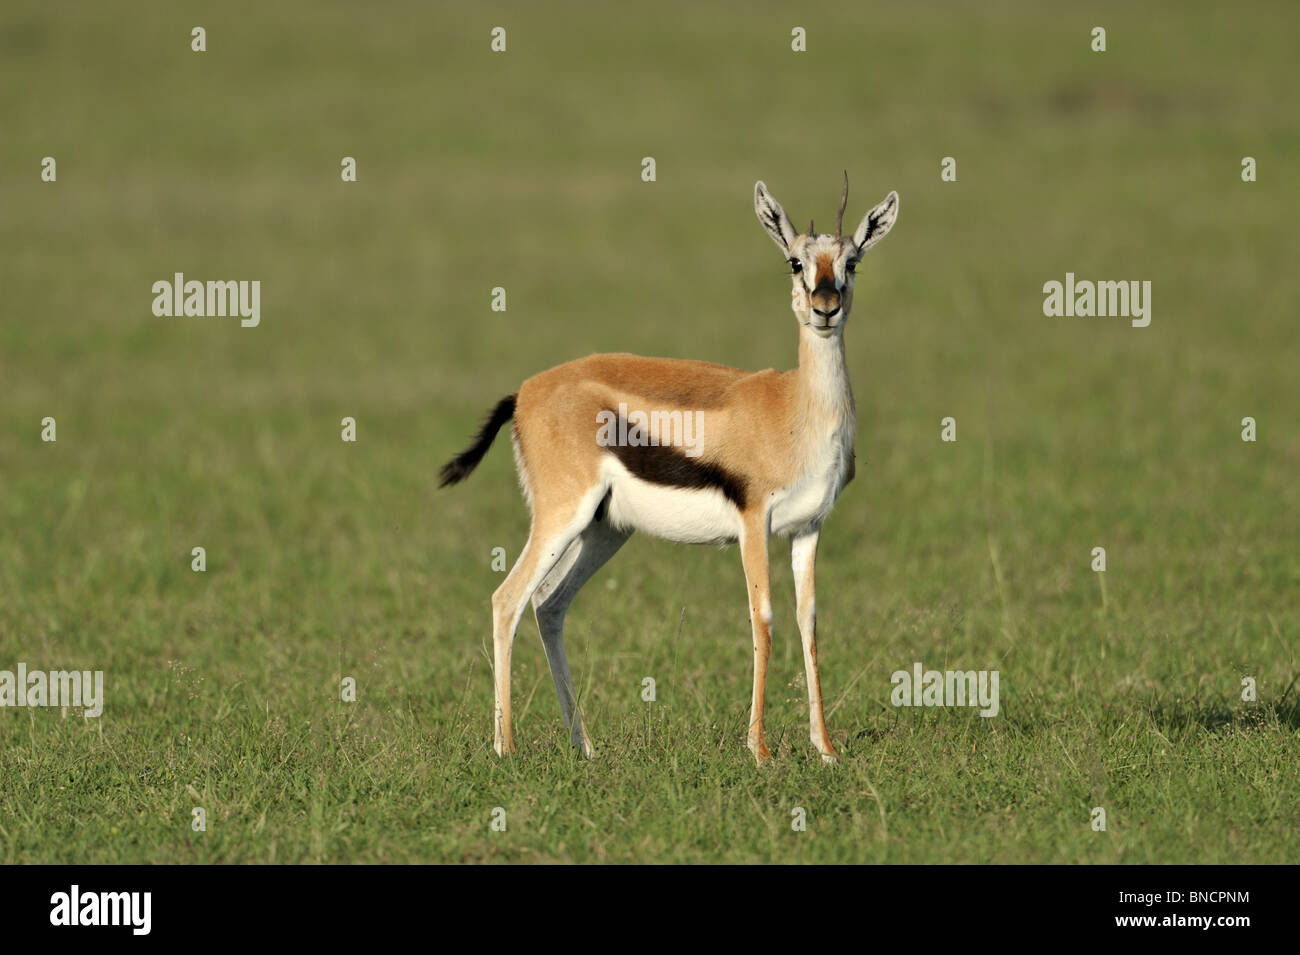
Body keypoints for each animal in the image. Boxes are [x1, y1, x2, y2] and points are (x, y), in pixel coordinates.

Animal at [440, 175, 899, 764]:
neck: (796, 409)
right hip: (563, 516)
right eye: (796, 261)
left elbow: (809, 622)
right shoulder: (754, 522)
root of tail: (524, 393)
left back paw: (585, 746)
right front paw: (760, 752)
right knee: (507, 600)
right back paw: (507, 748)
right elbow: (764, 620)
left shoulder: (808, 528)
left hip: (605, 530)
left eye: (852, 261)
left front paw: (826, 750)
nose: (825, 307)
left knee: (548, 605)